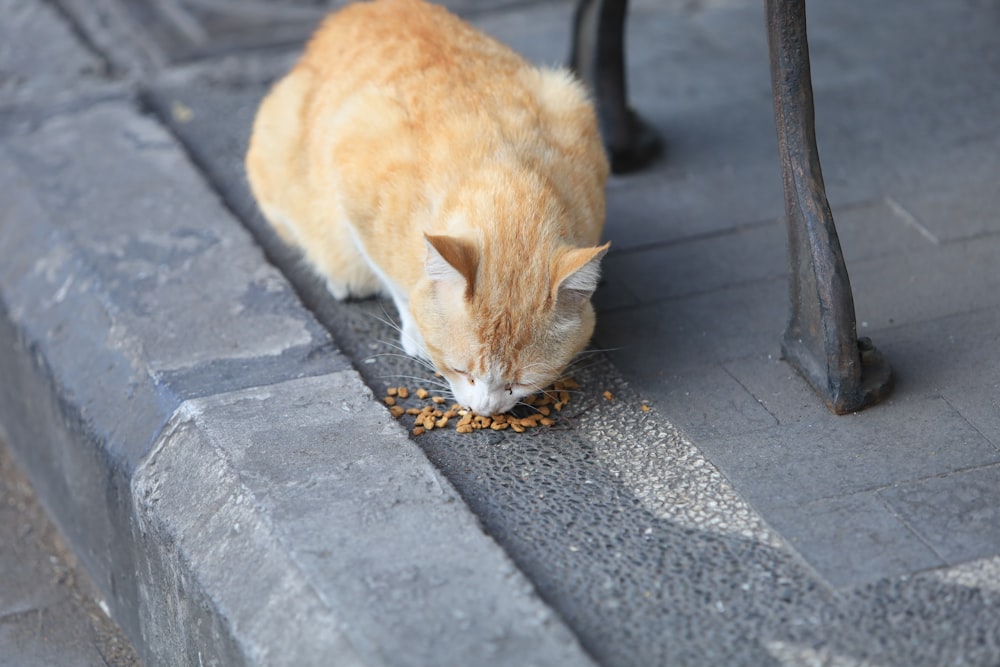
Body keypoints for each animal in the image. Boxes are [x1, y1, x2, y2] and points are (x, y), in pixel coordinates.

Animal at [246, 0, 612, 414]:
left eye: (519, 383)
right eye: (462, 370)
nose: (485, 410)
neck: (503, 174)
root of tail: (357, 10)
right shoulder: (353, 161)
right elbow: (395, 281)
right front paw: (416, 328)